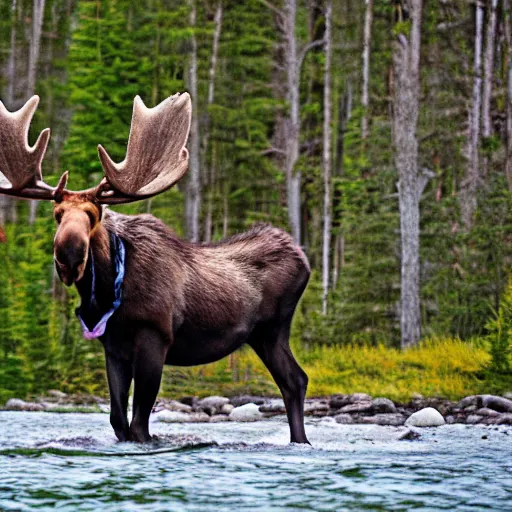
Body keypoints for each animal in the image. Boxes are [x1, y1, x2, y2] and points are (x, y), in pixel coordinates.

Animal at [0, 95, 310, 444]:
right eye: (57, 214)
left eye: (94, 214)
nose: (69, 256)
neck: (107, 290)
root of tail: (304, 259)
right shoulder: (114, 347)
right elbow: (118, 421)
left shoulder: (155, 336)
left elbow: (139, 426)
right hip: (264, 336)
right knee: (294, 380)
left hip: (273, 329)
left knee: (295, 380)